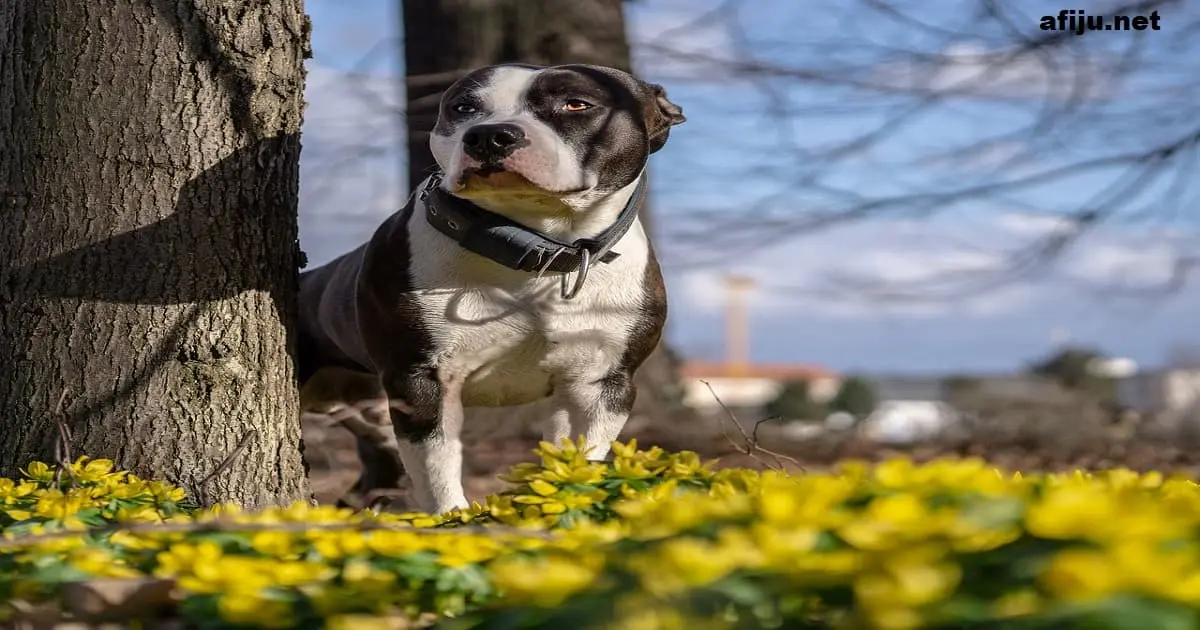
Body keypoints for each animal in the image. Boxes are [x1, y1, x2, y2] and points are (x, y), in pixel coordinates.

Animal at [297, 63, 686, 513]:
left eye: (576, 104)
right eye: (463, 108)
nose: (489, 134)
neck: (537, 250)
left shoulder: (598, 383)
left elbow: (578, 456)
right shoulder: (422, 379)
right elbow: (439, 470)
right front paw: (452, 518)